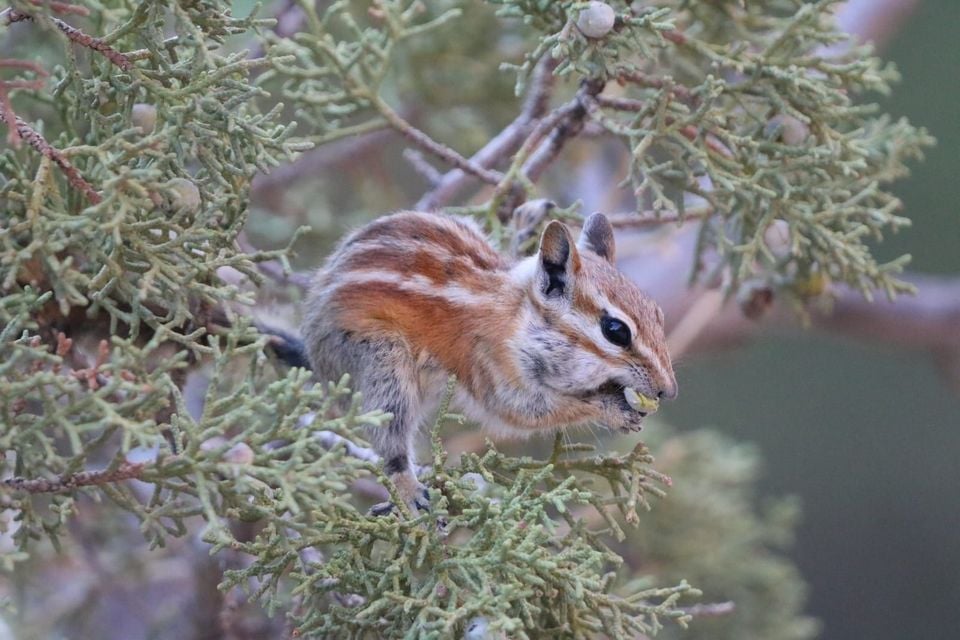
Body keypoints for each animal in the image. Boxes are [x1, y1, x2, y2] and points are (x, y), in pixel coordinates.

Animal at [297, 209, 677, 513]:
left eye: (658, 314)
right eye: (616, 331)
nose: (668, 391)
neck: (515, 315)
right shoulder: (491, 369)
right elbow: (523, 411)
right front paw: (612, 408)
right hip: (381, 359)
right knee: (390, 431)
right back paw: (407, 486)